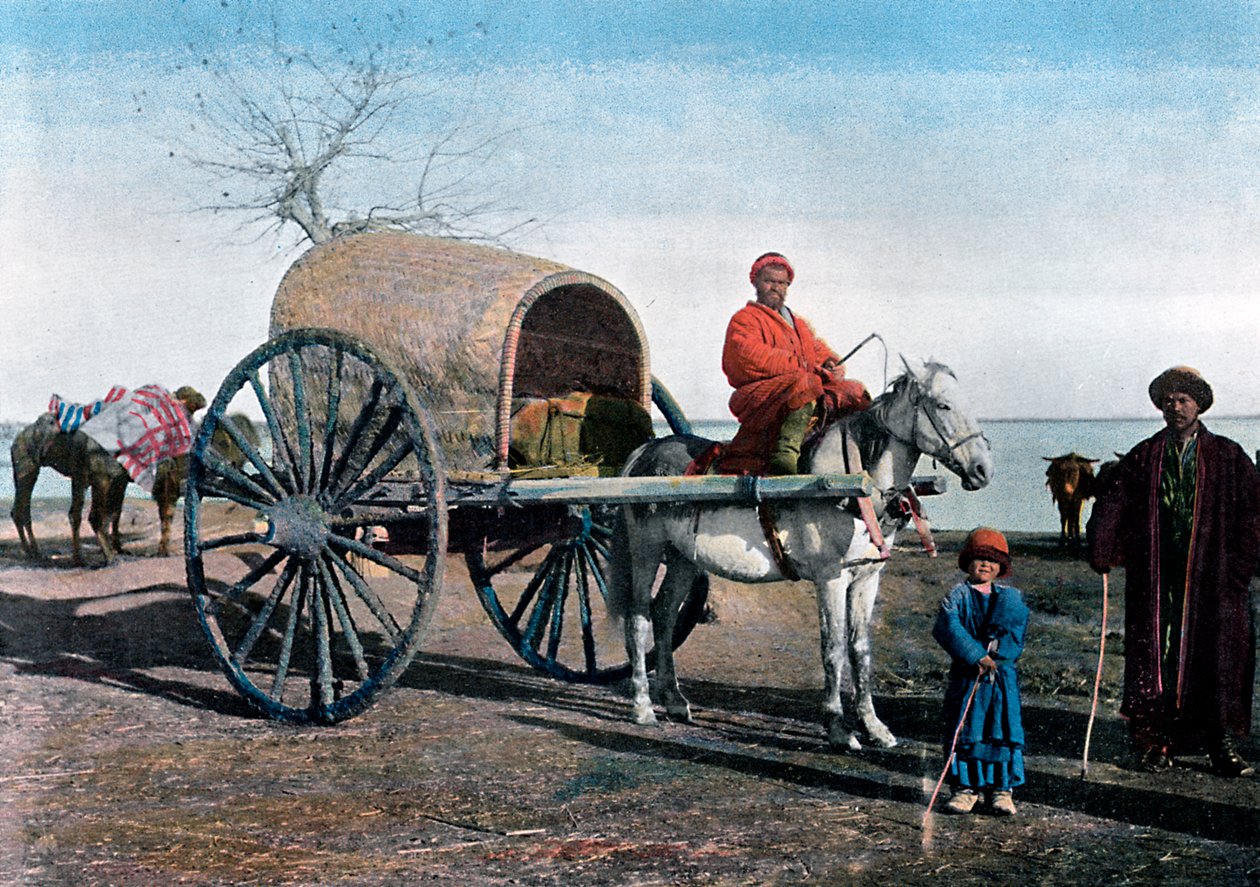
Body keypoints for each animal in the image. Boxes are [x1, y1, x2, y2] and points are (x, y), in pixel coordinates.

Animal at [609, 357, 992, 750]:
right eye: (943, 406)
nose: (983, 469)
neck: (852, 484)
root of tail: (645, 452)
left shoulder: (867, 577)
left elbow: (861, 649)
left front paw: (873, 726)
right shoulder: (831, 578)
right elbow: (834, 648)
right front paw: (838, 727)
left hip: (683, 559)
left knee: (664, 615)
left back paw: (673, 700)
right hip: (646, 549)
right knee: (638, 617)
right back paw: (643, 705)